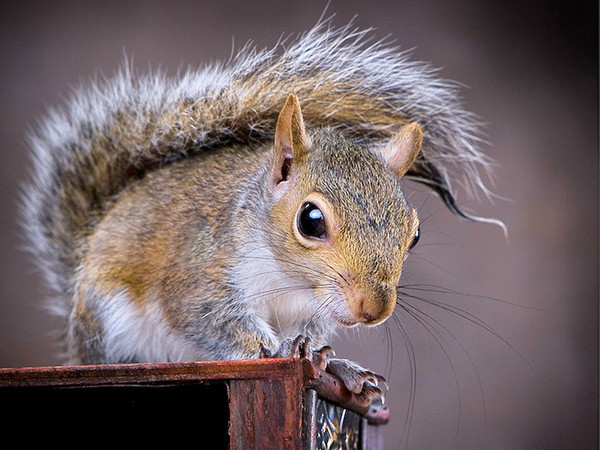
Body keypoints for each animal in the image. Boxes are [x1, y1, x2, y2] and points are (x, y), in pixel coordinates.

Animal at [21, 22, 502, 400]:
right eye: (310, 220)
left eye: (414, 234)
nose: (373, 310)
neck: (289, 282)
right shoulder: (199, 273)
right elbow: (207, 319)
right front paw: (278, 350)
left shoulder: (311, 311)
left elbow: (315, 337)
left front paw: (334, 362)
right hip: (108, 323)